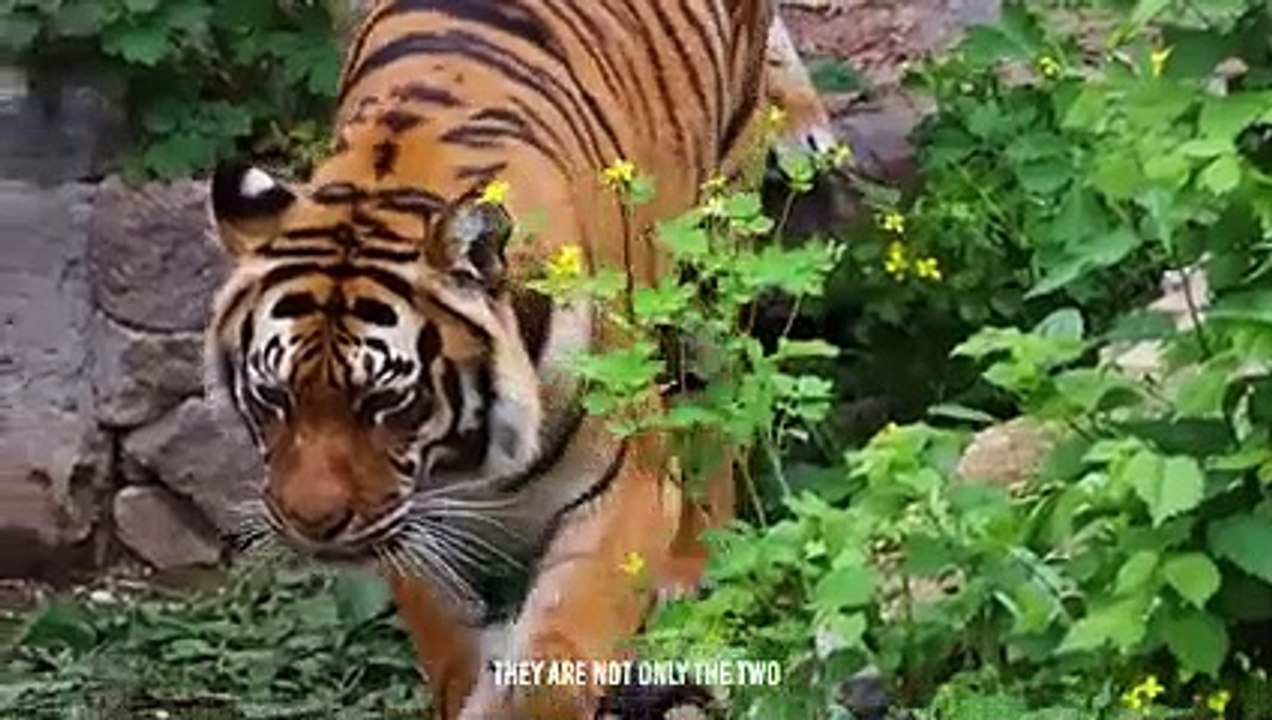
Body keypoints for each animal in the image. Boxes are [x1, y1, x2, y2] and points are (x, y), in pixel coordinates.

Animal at [204, 1, 838, 718]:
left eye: (388, 402)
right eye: (273, 396)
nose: (312, 526)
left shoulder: (623, 498)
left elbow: (552, 666)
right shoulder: (416, 532)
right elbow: (457, 660)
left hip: (713, 256)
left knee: (718, 413)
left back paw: (692, 569)